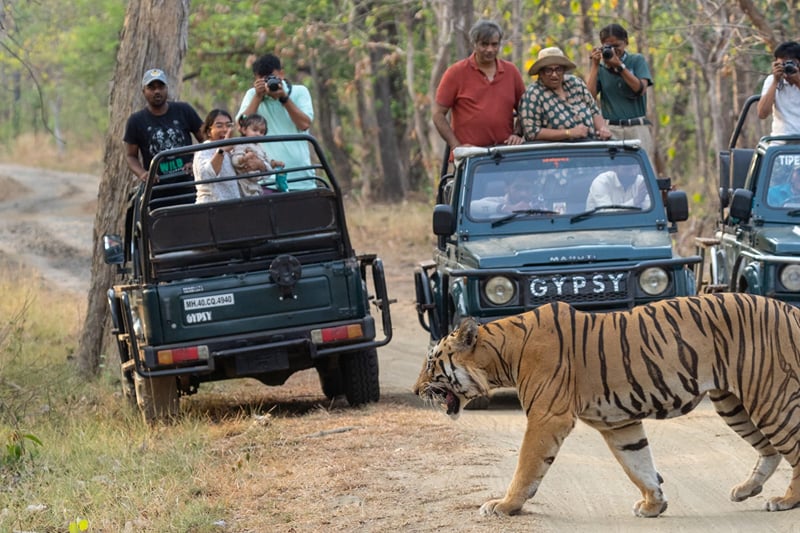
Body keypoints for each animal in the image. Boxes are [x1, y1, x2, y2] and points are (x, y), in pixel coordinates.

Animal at [413, 292, 800, 518]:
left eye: (431, 364)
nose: (416, 390)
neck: (502, 354)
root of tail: (789, 309)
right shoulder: (618, 423)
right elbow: (638, 464)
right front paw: (653, 504)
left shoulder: (547, 417)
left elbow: (526, 465)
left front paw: (505, 505)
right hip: (733, 402)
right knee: (769, 449)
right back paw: (746, 490)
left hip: (770, 395)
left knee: (792, 446)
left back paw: (785, 500)